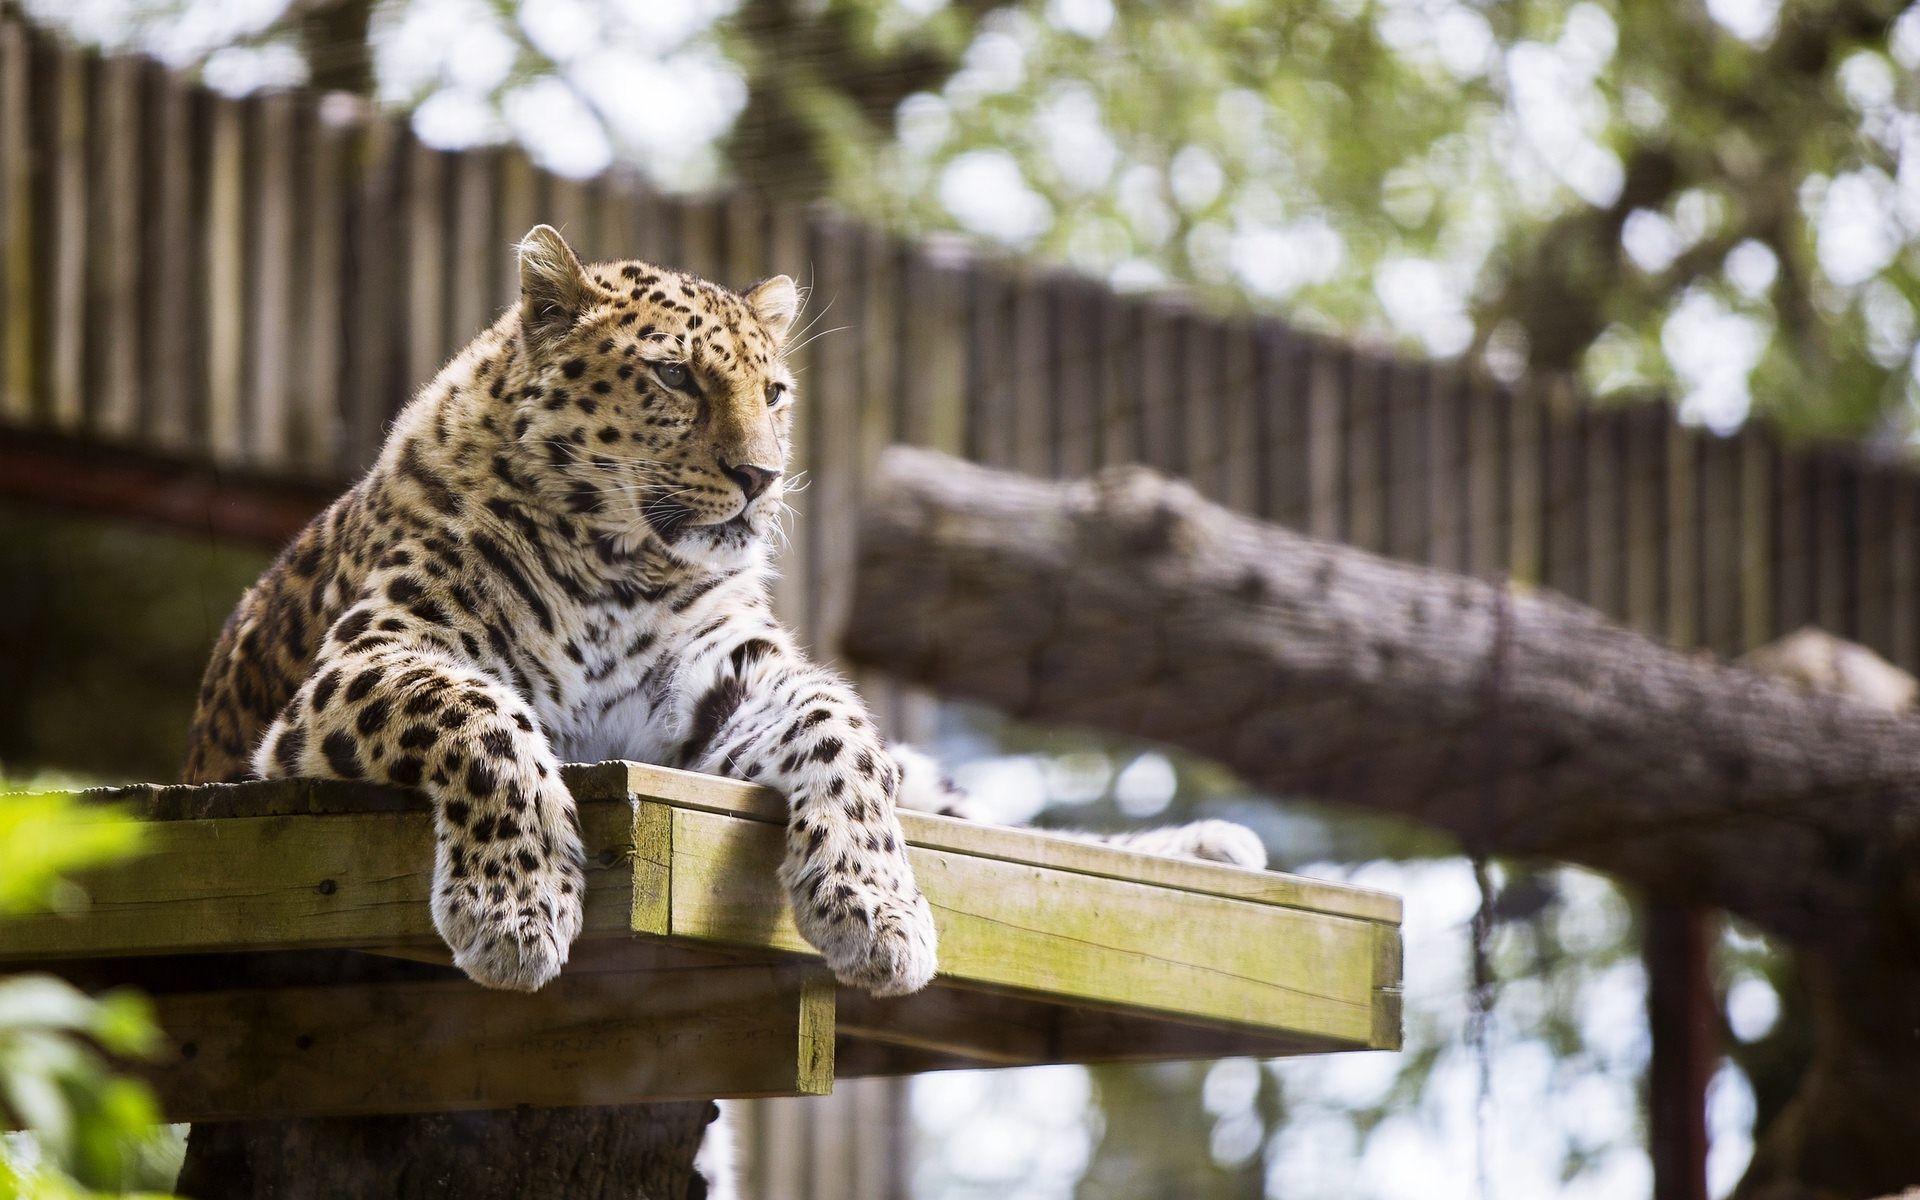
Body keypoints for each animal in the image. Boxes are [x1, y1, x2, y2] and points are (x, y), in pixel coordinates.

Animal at [182, 224, 1267, 1002]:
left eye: (775, 391)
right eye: (674, 376)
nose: (762, 477)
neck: (615, 566)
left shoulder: (724, 691)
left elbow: (843, 732)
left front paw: (877, 907)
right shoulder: (359, 666)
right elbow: (481, 719)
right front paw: (517, 909)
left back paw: (1213, 846)